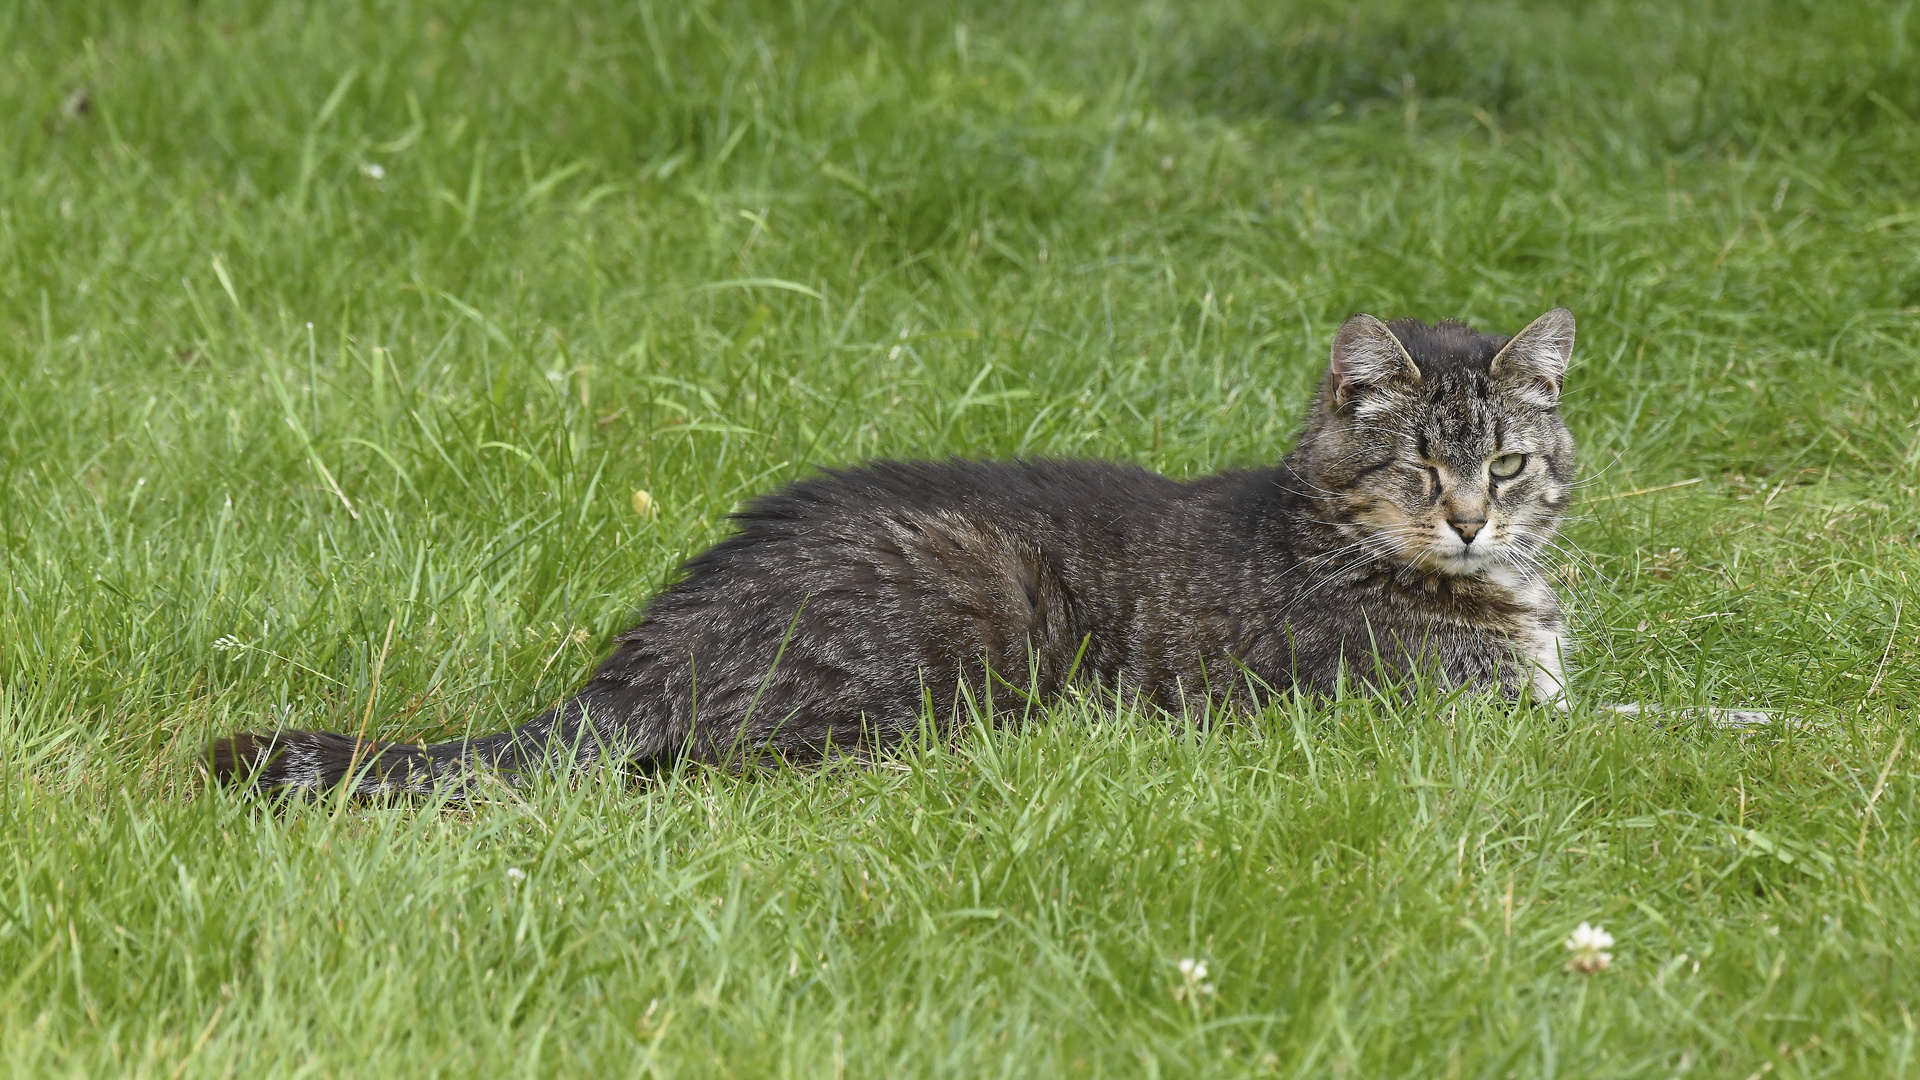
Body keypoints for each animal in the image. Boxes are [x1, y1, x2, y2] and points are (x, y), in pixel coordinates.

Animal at [214, 305, 1574, 791]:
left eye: (1506, 464)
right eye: (1420, 470)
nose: (1470, 519)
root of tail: (640, 658)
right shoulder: (1452, 714)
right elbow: (1618, 725)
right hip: (965, 610)